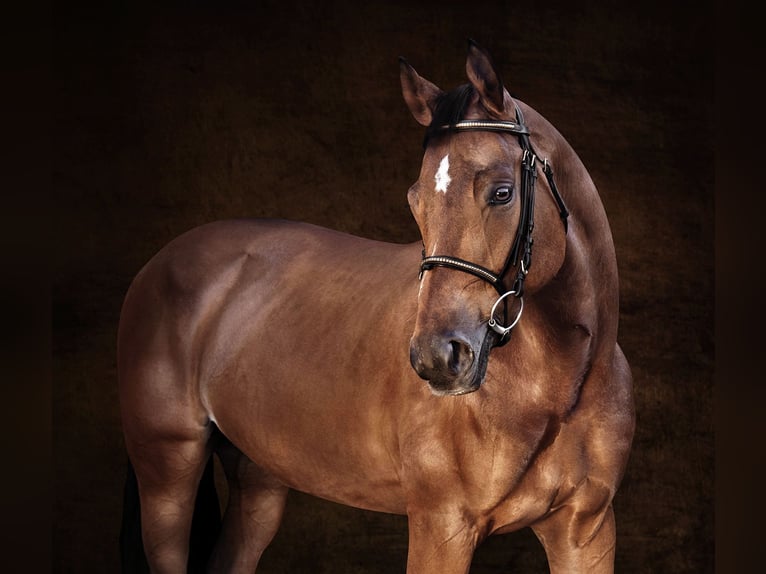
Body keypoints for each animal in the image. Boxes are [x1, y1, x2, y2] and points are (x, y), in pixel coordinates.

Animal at [118, 41, 636, 574]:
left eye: (502, 192)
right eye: (415, 200)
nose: (436, 358)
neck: (560, 386)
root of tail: (162, 261)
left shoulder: (586, 532)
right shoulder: (442, 527)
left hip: (258, 481)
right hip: (167, 477)